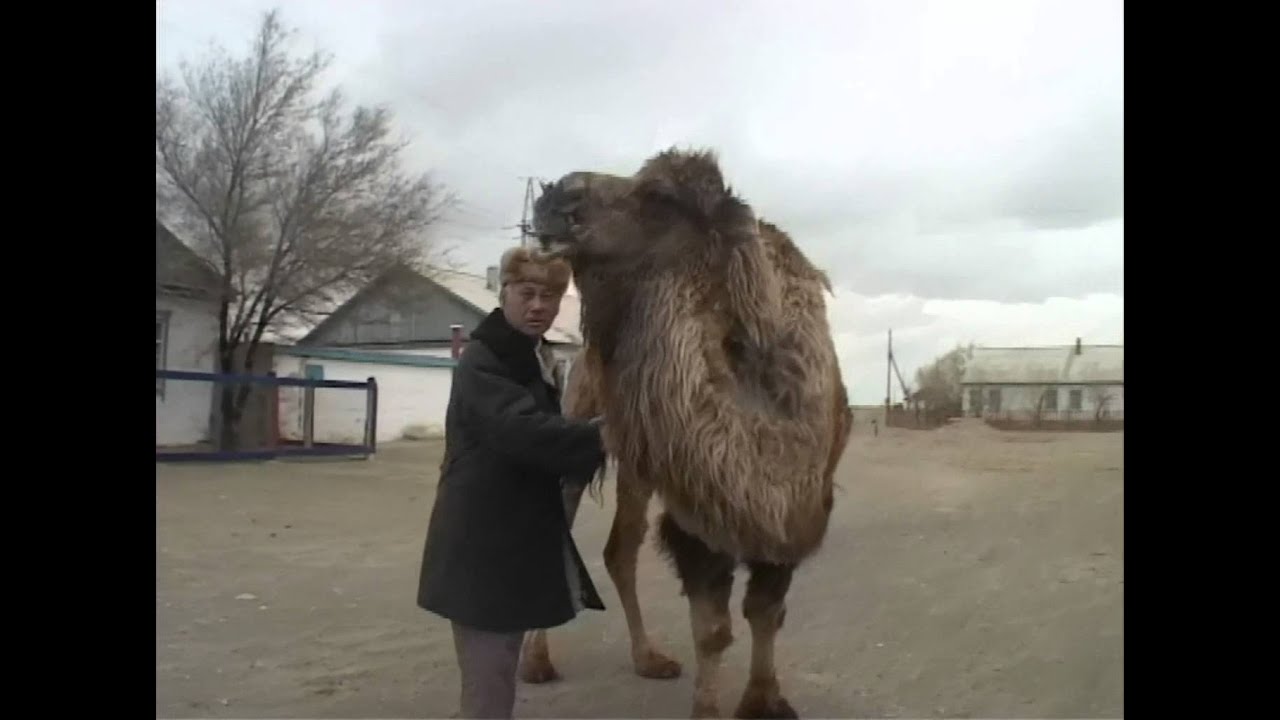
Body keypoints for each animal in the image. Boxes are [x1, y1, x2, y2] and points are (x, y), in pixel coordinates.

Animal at [526, 147, 853, 719]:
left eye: (658, 196)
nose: (555, 195)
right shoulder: (699, 520)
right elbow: (714, 631)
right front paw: (711, 707)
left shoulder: (791, 518)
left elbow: (766, 611)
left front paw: (765, 700)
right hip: (577, 423)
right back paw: (537, 663)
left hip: (637, 459)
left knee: (621, 548)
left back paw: (649, 659)